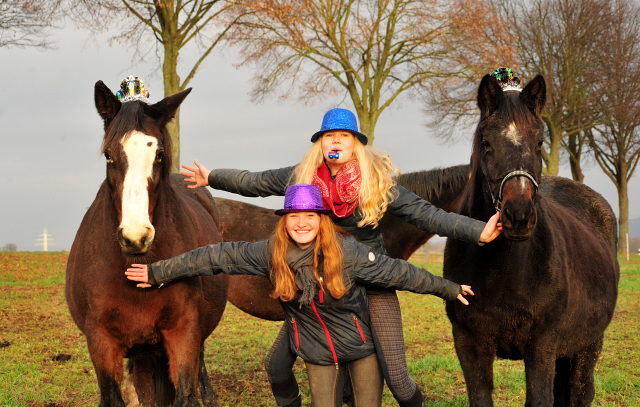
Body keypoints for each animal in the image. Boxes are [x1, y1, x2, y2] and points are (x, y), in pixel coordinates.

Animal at [65, 83, 229, 407]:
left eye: (160, 154)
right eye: (108, 155)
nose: (135, 237)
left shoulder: (184, 333)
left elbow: (186, 393)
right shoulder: (101, 341)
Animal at [444, 74, 620, 407]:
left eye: (539, 142)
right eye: (486, 143)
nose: (519, 215)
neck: (504, 272)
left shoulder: (542, 345)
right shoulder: (469, 344)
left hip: (590, 343)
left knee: (581, 391)